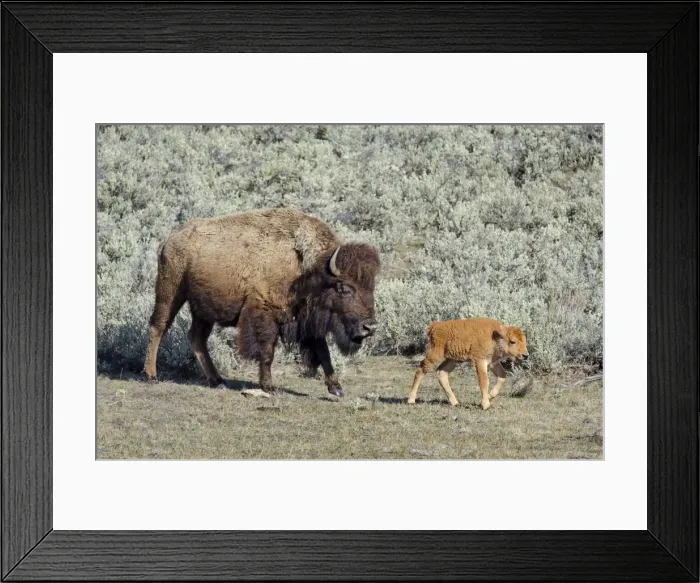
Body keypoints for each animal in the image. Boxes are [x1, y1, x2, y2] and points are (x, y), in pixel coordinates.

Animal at [142, 208, 380, 397]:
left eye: (371, 287)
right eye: (344, 288)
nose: (370, 327)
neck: (306, 266)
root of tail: (169, 240)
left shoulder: (307, 320)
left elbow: (323, 352)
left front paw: (336, 388)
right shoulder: (265, 312)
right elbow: (267, 351)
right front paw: (268, 386)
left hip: (202, 309)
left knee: (196, 338)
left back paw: (218, 381)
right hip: (171, 291)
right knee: (158, 326)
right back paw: (151, 375)